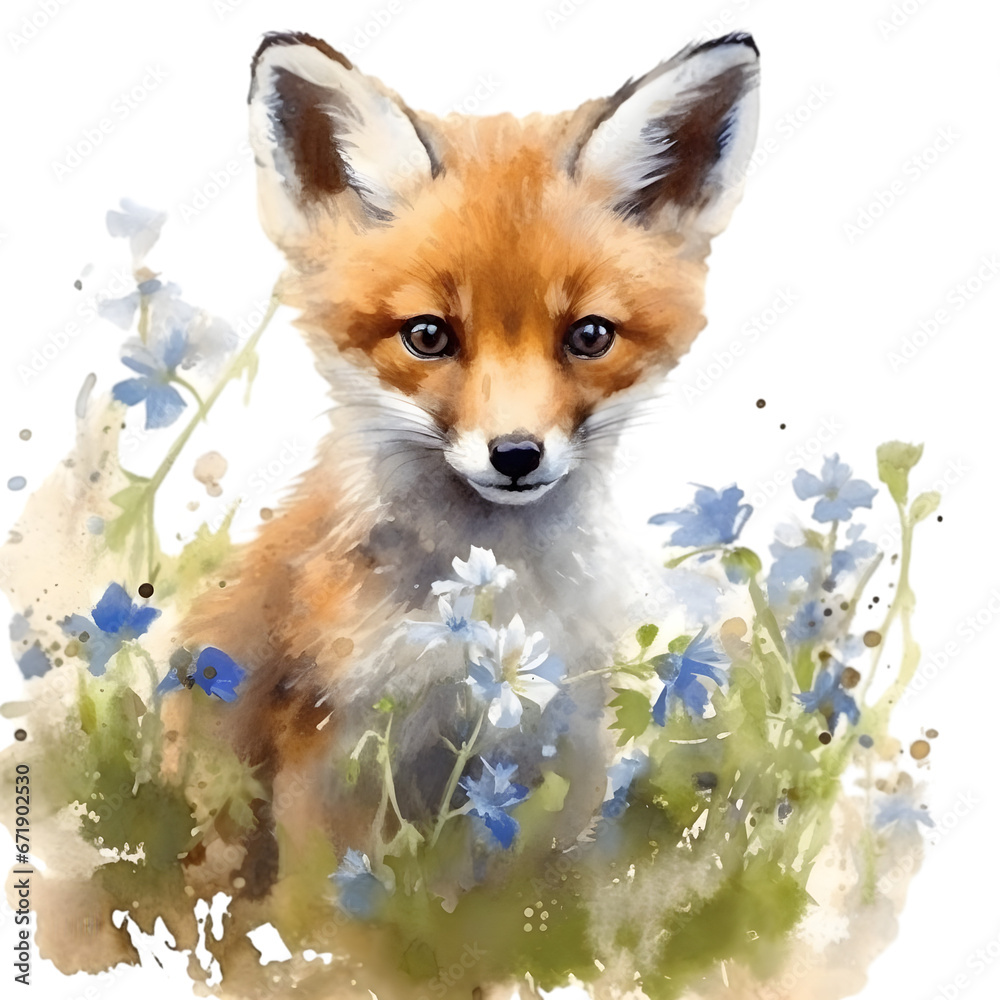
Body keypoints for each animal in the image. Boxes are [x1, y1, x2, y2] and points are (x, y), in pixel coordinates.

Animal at [176, 29, 761, 892]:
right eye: (428, 335)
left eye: (589, 335)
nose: (515, 454)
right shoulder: (330, 742)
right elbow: (326, 911)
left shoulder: (560, 751)